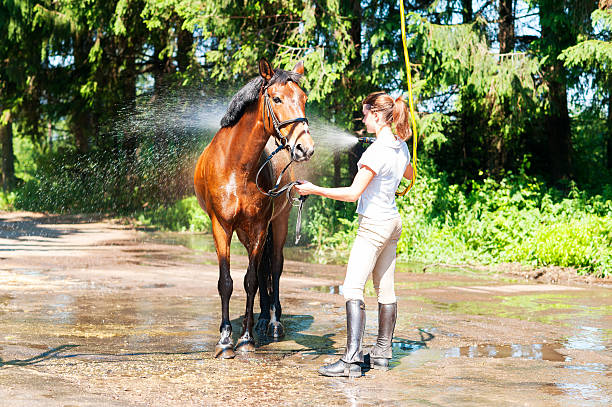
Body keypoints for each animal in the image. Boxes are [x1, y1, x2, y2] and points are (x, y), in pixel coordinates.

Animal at [192, 59, 316, 358]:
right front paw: (225, 340)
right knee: (262, 271)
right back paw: (260, 320)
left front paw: (246, 339)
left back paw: (272, 322)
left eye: (304, 99)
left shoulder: (260, 226)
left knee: (274, 269)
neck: (236, 166)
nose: (305, 148)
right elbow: (226, 282)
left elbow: (251, 281)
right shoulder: (222, 227)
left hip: (277, 224)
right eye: (277, 98)